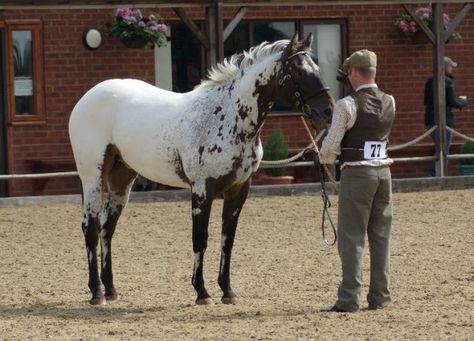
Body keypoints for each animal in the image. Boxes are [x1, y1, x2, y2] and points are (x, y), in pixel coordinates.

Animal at [68, 33, 334, 306]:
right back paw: (96, 293)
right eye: (298, 72)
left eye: (317, 68)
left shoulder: (239, 190)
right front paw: (202, 293)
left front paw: (227, 291)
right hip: (93, 177)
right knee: (90, 228)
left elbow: (227, 240)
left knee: (107, 229)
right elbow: (200, 239)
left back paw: (110, 290)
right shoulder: (202, 190)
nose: (328, 112)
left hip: (122, 180)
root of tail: (85, 99)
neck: (228, 117)